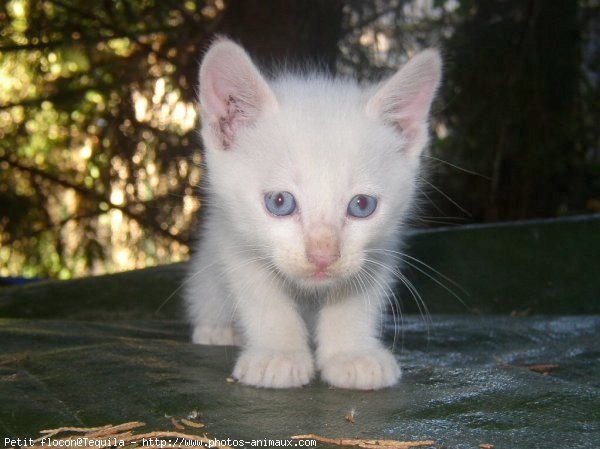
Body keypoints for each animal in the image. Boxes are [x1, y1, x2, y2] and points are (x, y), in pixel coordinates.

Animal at [185, 38, 442, 388]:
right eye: (280, 202)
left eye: (362, 205)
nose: (323, 255)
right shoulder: (233, 239)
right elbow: (263, 298)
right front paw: (278, 354)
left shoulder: (381, 250)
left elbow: (355, 298)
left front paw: (351, 354)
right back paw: (218, 329)